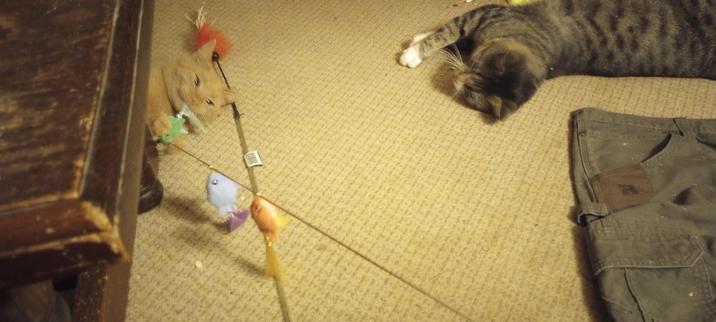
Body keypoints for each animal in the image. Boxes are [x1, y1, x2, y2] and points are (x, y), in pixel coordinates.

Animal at [400, 0, 712, 119]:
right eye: (475, 64)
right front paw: (418, 42)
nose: (456, 78)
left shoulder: (486, 15)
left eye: (468, 93)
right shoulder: (485, 13)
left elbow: (449, 34)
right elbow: (447, 33)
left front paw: (413, 51)